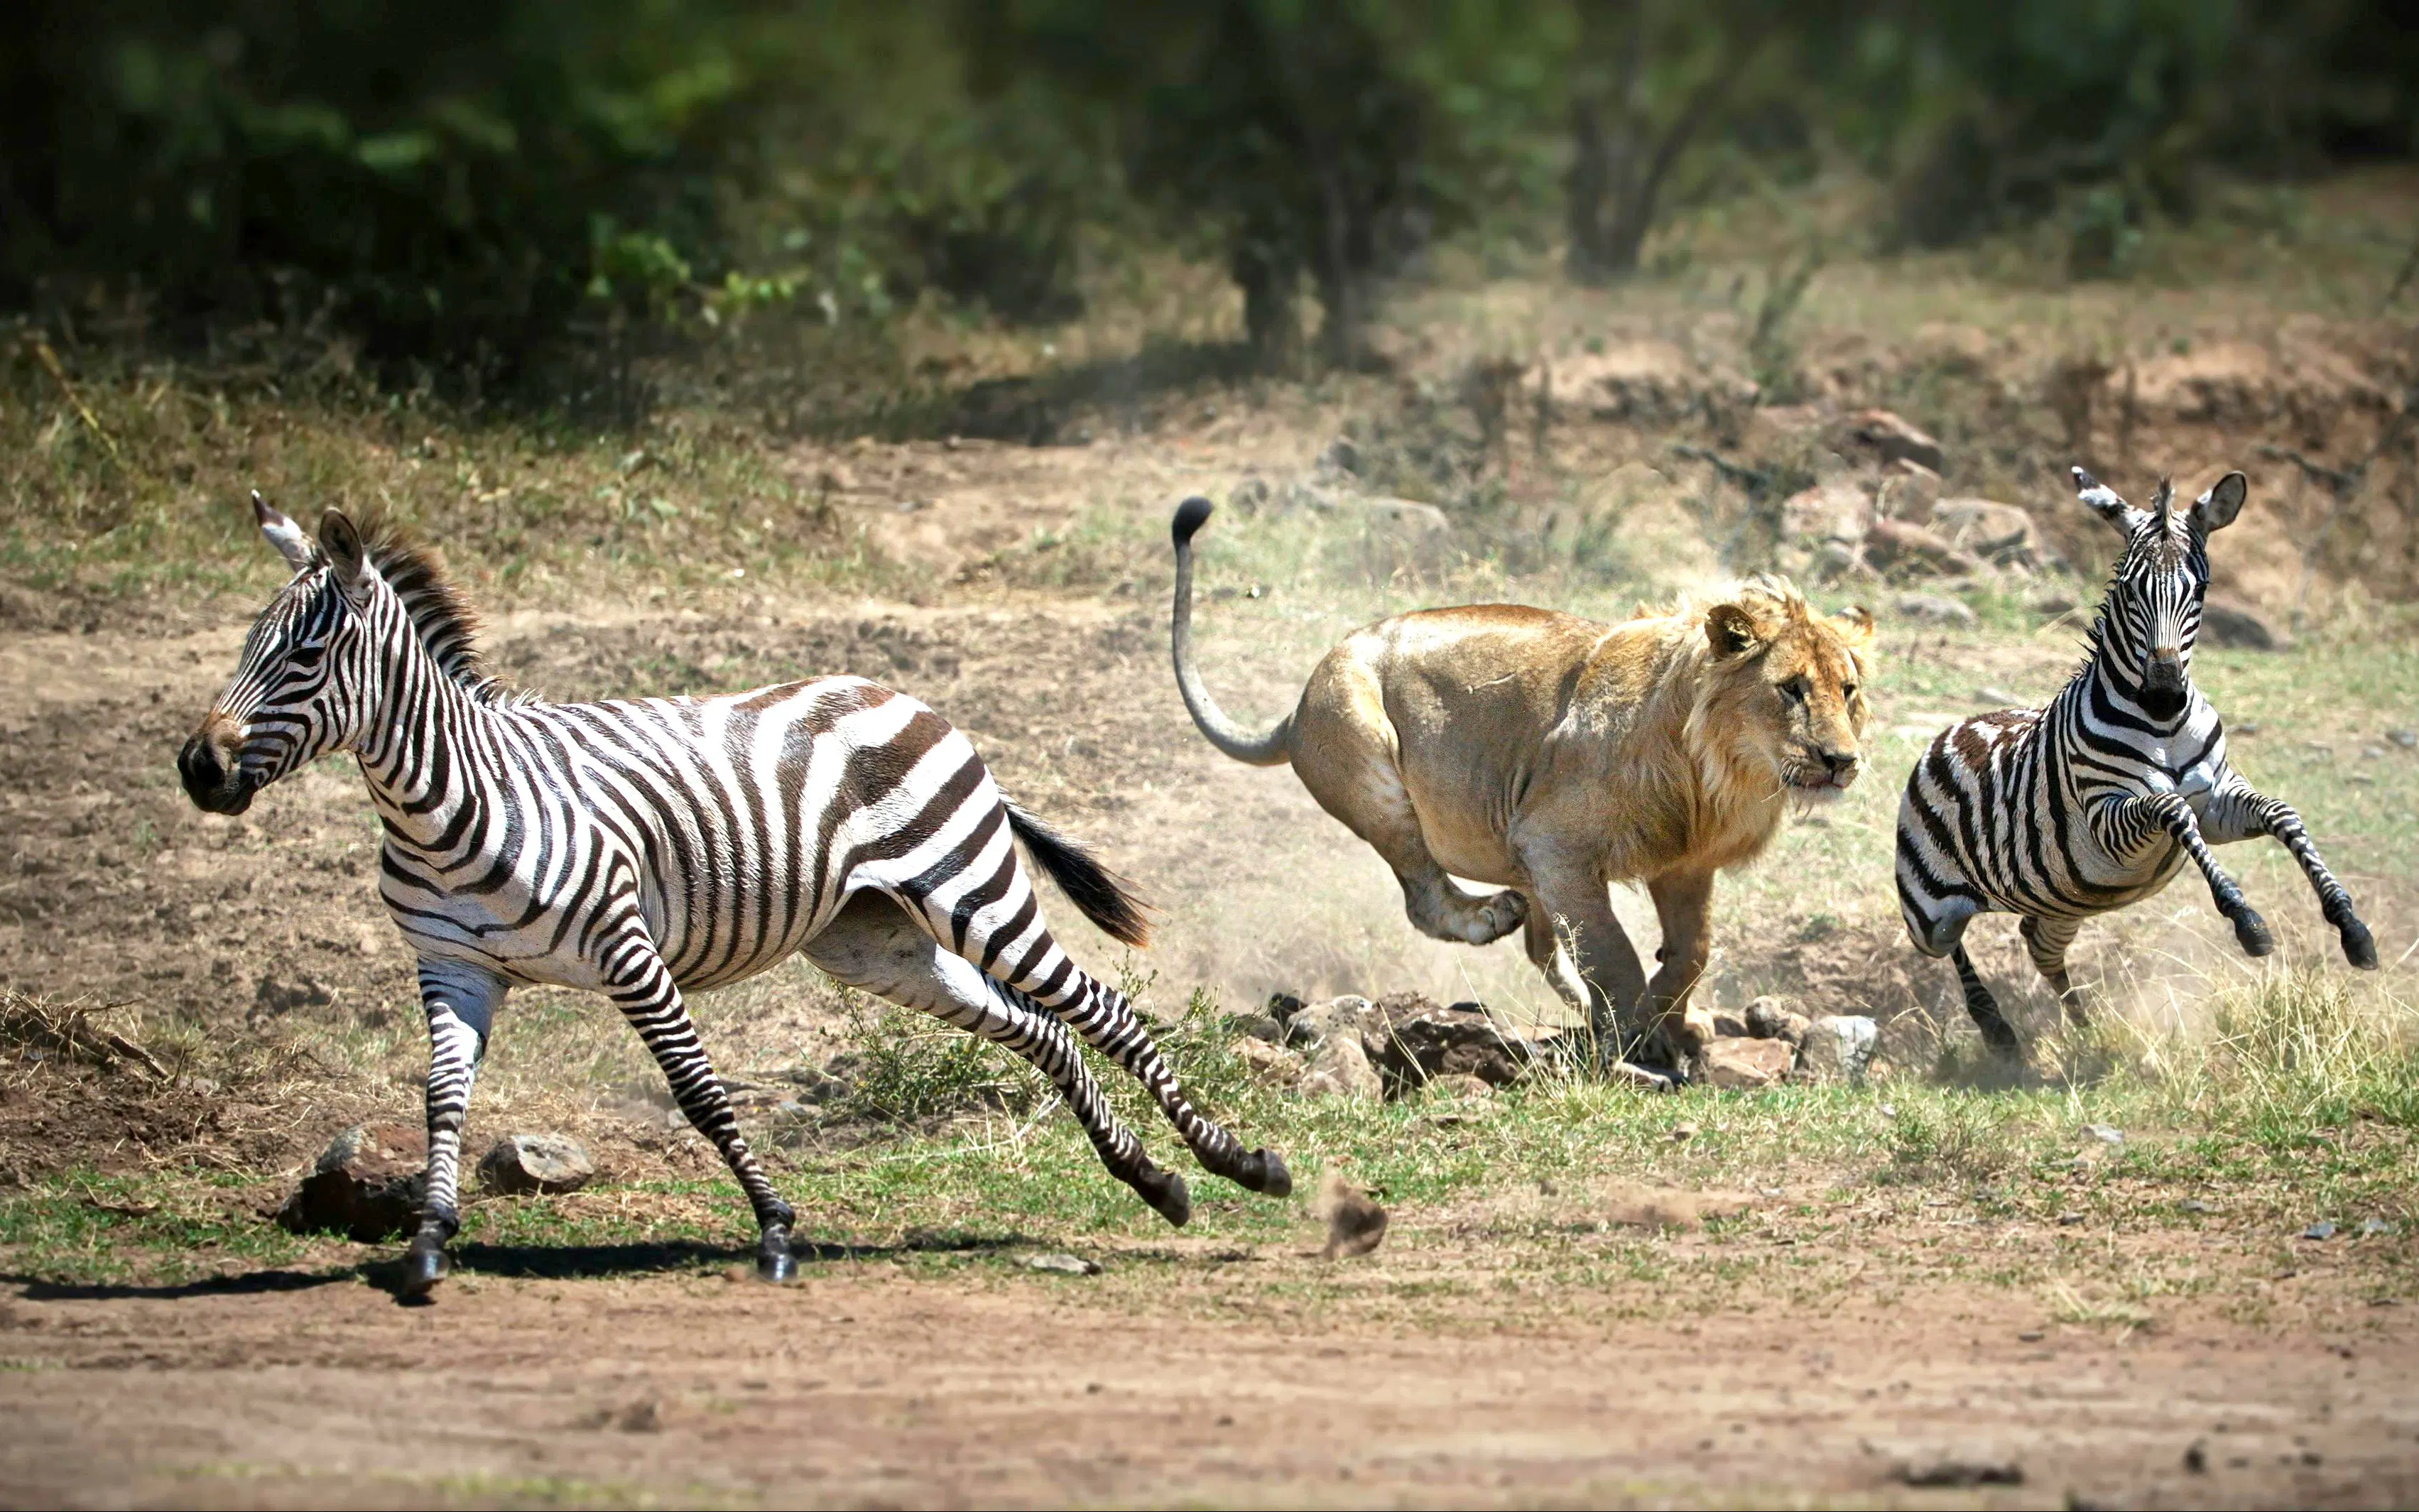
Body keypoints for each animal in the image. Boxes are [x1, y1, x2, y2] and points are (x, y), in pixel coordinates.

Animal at [178, 495, 1290, 1295]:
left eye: (305, 653)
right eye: (245, 646)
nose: (197, 766)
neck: (448, 801)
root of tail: (913, 698)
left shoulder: (627, 947)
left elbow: (701, 1093)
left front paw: (777, 1230)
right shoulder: (454, 965)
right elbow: (443, 1098)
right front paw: (428, 1239)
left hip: (969, 885)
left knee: (1103, 1010)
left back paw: (1239, 1164)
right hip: (875, 940)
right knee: (1042, 1029)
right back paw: (1153, 1180)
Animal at [1168, 496, 1873, 1072]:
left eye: (1847, 689)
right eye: (1791, 689)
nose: (1841, 760)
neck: (1715, 773)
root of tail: (1296, 707)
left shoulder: (1684, 866)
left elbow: (1690, 952)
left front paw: (1673, 1021)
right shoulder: (1554, 844)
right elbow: (1611, 948)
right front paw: (1637, 1039)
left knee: (1539, 944)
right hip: (1373, 765)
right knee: (1427, 897)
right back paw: (1491, 918)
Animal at [1895, 467, 2377, 1055]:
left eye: (2201, 590)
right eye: (2128, 589)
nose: (2165, 694)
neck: (2164, 728)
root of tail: (1947, 732)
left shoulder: (2217, 801)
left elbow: (2282, 813)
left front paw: (2351, 924)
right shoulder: (2108, 816)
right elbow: (2171, 808)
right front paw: (2245, 917)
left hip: (2062, 903)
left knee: (2039, 945)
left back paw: (2087, 1029)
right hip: (1929, 911)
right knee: (1951, 944)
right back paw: (1996, 1026)